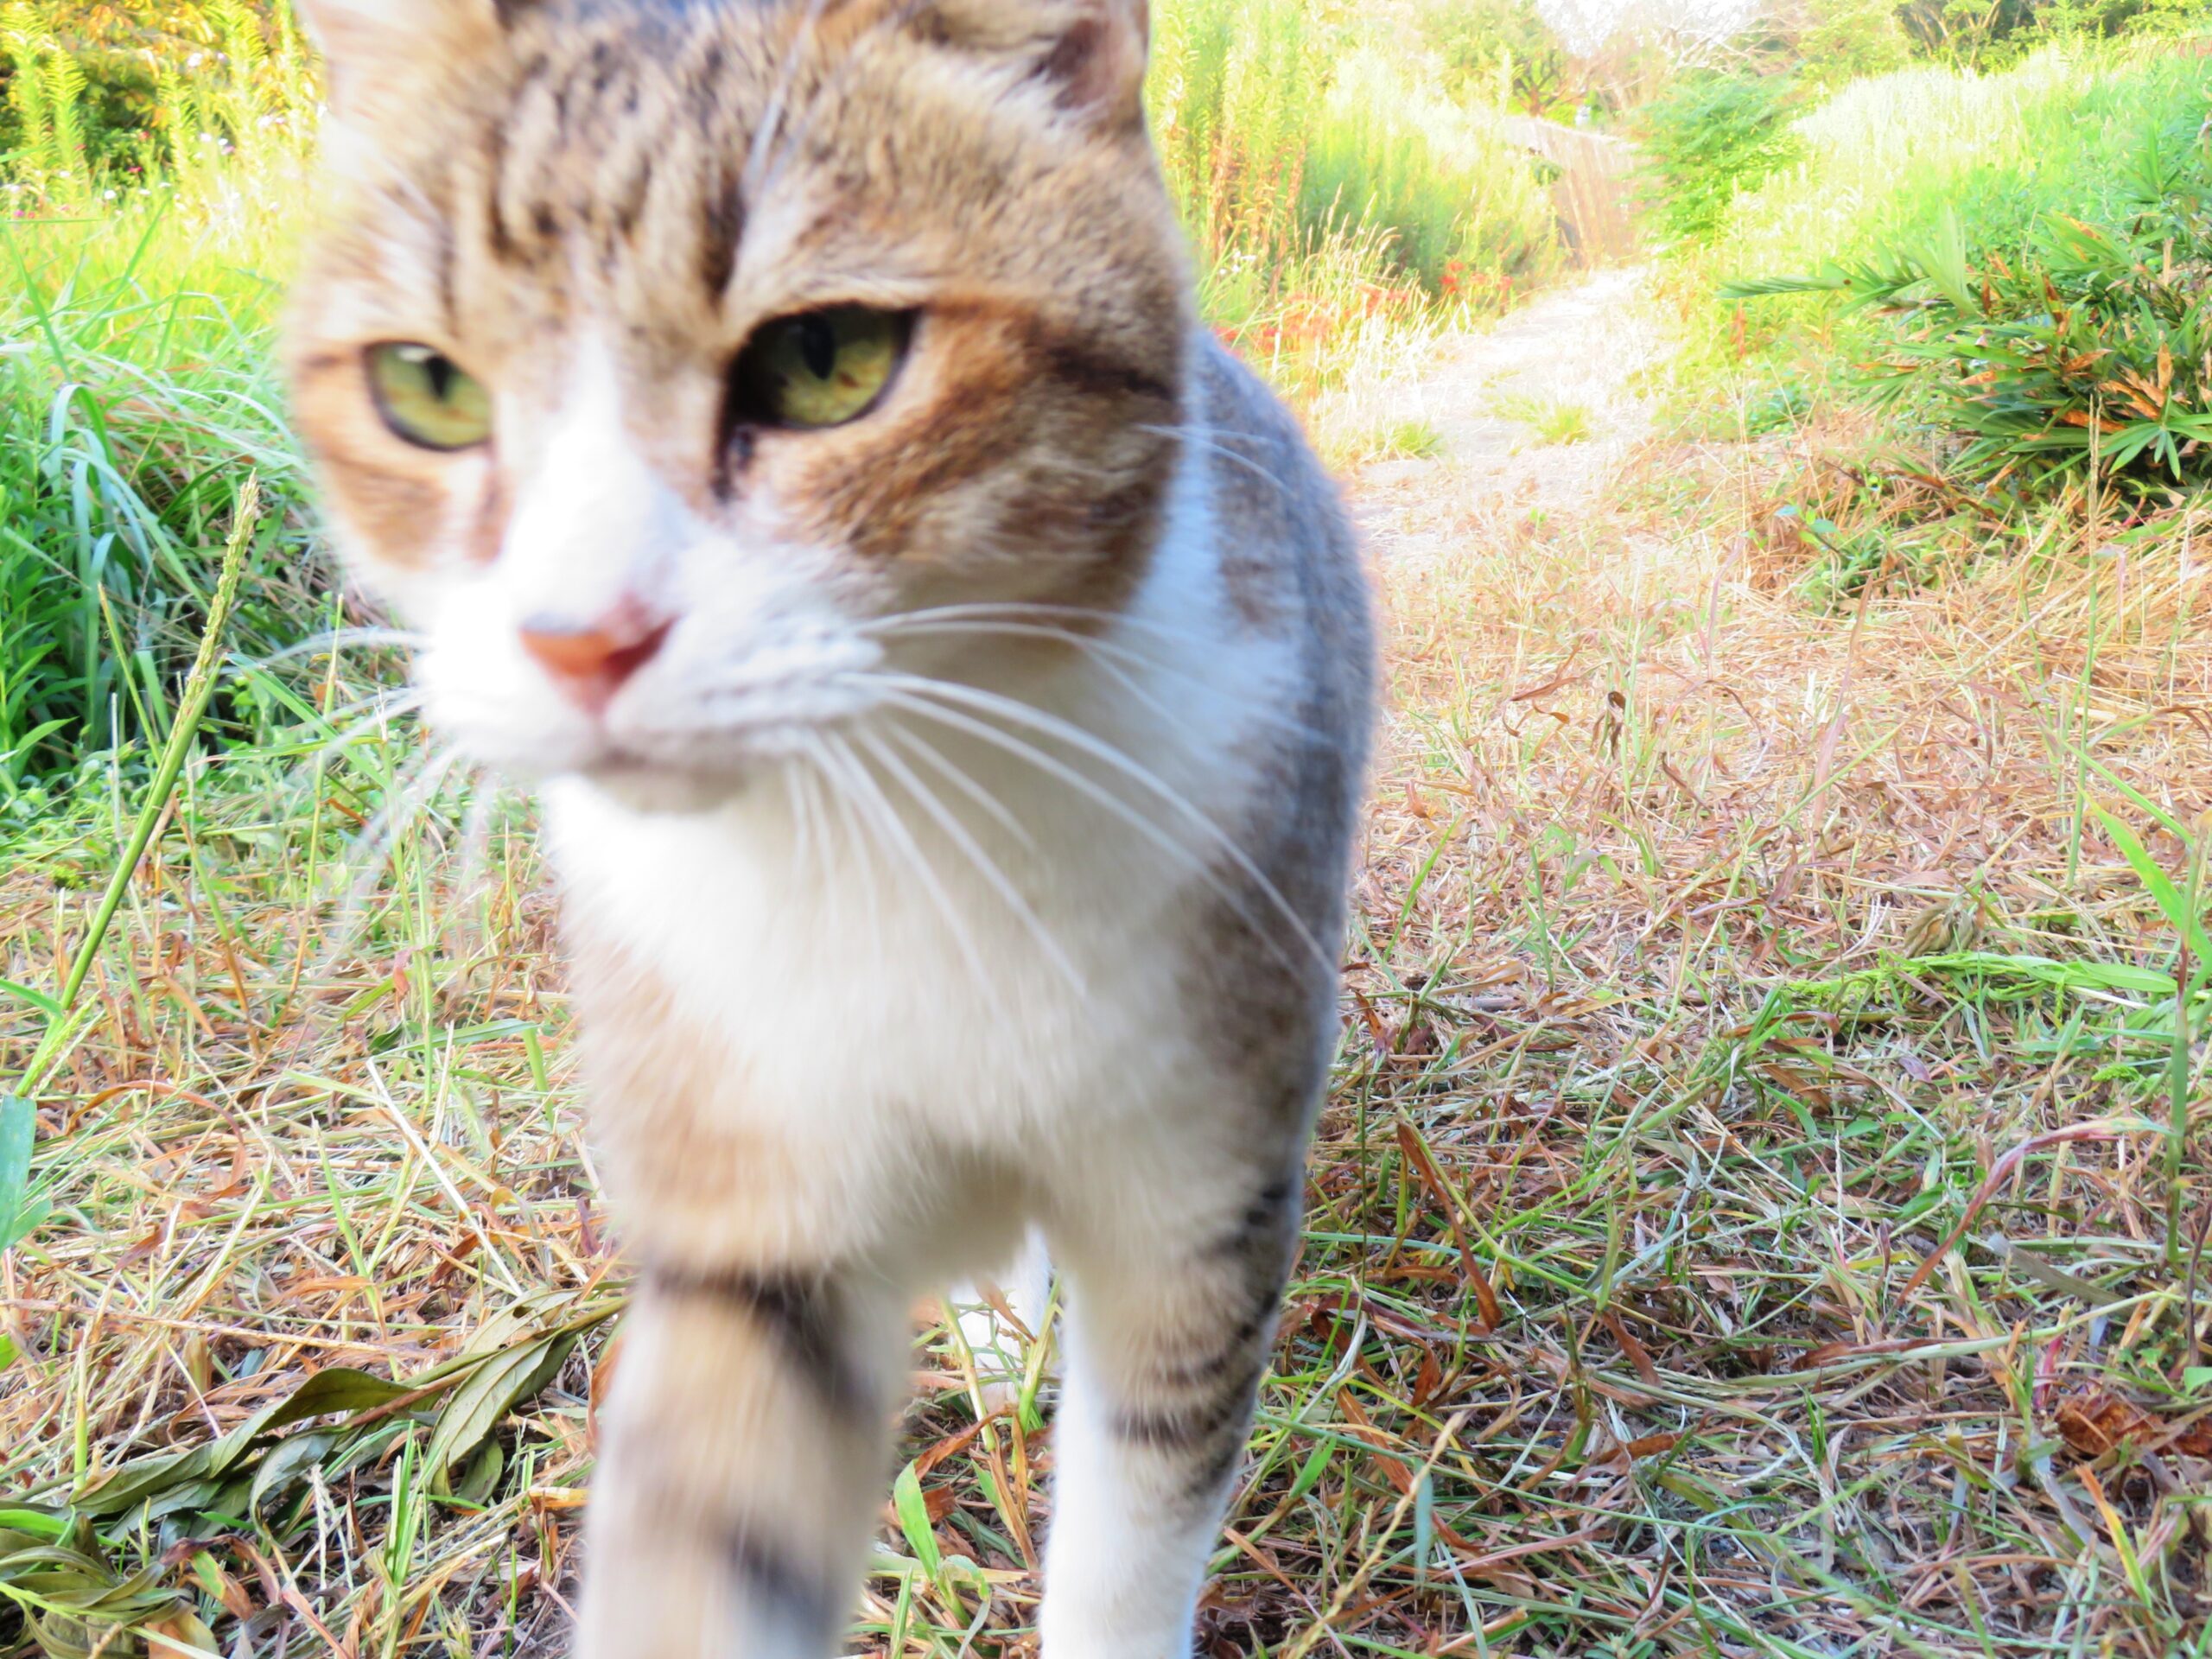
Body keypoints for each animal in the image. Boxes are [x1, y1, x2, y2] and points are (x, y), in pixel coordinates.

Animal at [285, 6, 1371, 1654]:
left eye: (828, 361)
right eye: (427, 387)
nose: (582, 638)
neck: (885, 830)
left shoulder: (1194, 1204)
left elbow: (1136, 1523)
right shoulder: (751, 1200)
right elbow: (711, 1525)